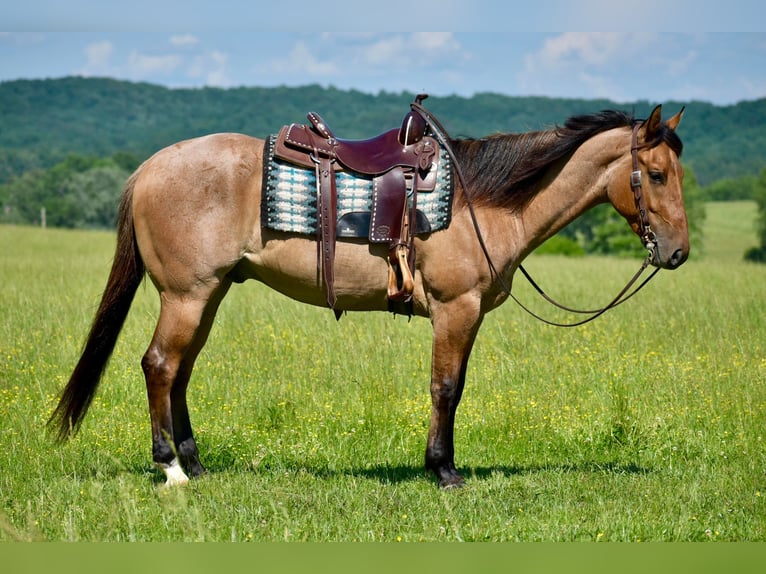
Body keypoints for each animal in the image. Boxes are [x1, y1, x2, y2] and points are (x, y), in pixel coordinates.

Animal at [51, 101, 692, 488]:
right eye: (657, 175)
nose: (679, 253)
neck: (484, 201)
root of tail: (149, 168)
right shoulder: (456, 310)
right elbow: (447, 388)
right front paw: (444, 471)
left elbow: (451, 388)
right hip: (187, 295)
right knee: (160, 365)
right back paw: (172, 471)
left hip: (206, 296)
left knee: (179, 371)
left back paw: (196, 464)